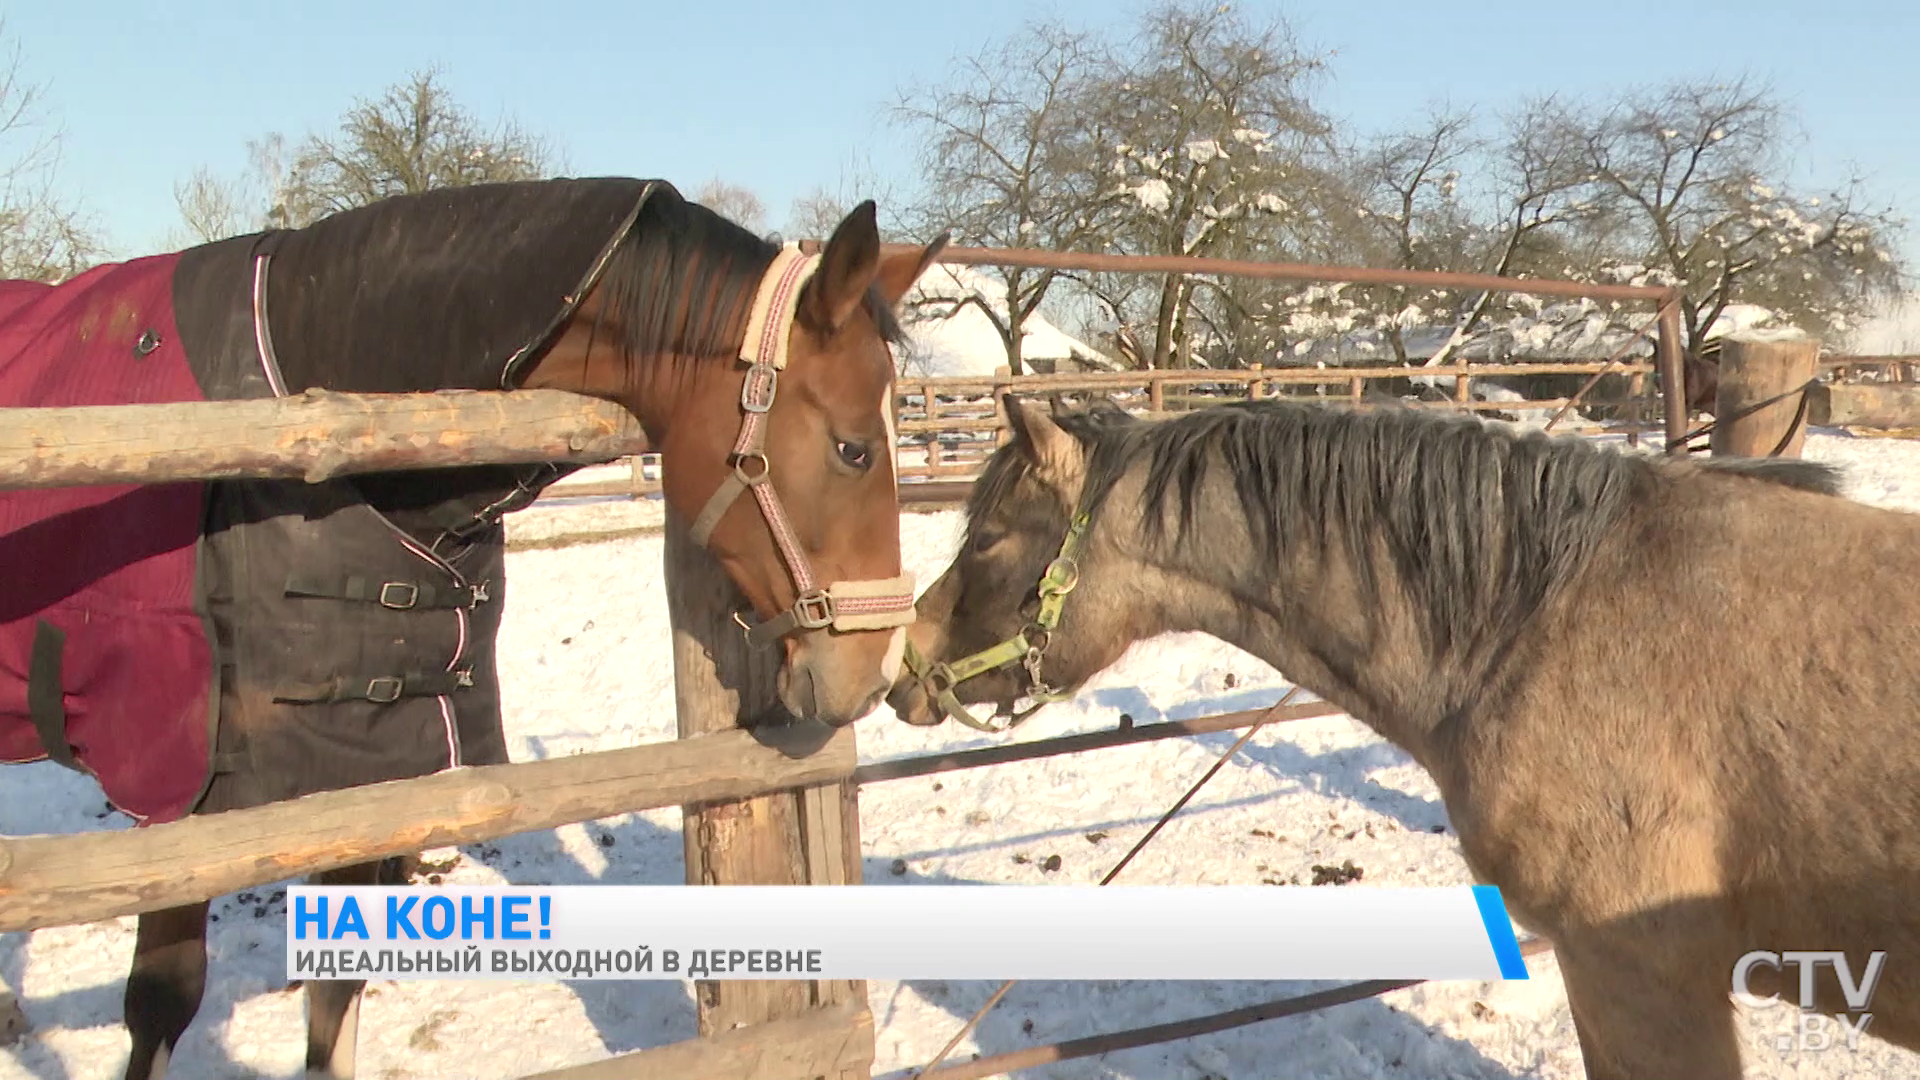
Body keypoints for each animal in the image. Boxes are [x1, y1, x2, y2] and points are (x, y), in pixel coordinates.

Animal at [0, 176, 944, 1076]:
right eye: (853, 448)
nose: (874, 669)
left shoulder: (363, 768)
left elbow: (334, 999)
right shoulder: (172, 801)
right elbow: (162, 1001)